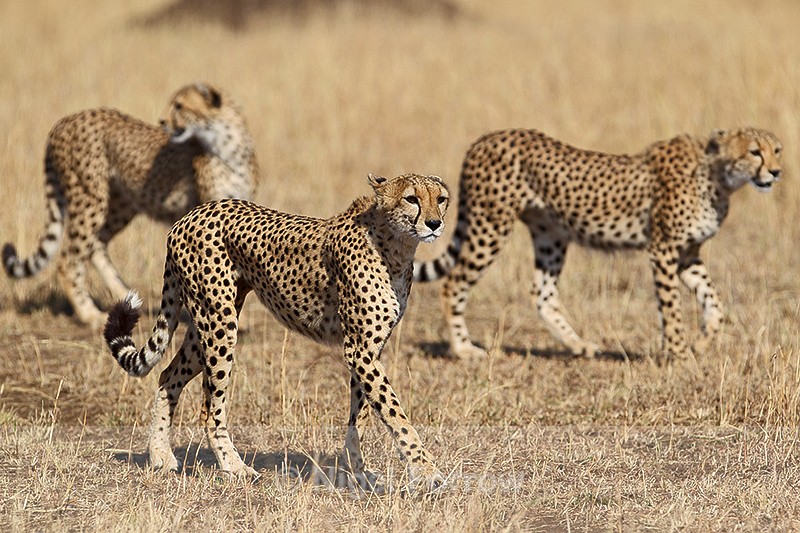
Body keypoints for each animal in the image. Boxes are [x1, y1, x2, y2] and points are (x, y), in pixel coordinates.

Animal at [3, 82, 258, 327]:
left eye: (179, 105)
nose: (162, 121)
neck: (227, 146)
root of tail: (64, 121)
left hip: (121, 206)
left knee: (96, 244)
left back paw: (125, 297)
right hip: (89, 199)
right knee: (68, 262)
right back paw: (90, 315)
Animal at [103, 173, 450, 492]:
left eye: (441, 199)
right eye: (411, 199)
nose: (434, 223)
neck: (395, 244)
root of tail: (191, 214)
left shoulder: (369, 349)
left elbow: (361, 415)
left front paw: (357, 472)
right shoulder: (359, 350)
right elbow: (393, 411)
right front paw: (426, 471)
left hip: (209, 322)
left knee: (167, 375)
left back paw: (160, 455)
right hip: (220, 324)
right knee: (210, 409)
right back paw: (234, 466)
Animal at [413, 127, 782, 362]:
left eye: (776, 150)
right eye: (754, 151)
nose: (777, 172)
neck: (717, 177)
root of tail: (484, 138)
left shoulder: (687, 254)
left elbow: (714, 302)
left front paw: (703, 342)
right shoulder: (663, 250)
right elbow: (672, 307)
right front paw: (678, 352)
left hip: (551, 234)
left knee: (541, 294)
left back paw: (580, 346)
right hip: (490, 226)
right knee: (453, 283)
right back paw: (463, 350)